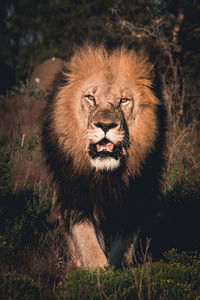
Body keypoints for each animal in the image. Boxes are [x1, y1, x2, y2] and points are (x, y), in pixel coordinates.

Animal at [42, 44, 166, 268]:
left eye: (124, 100)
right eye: (91, 98)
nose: (106, 125)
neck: (106, 176)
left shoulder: (134, 200)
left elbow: (122, 251)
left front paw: (118, 271)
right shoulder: (77, 199)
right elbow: (89, 248)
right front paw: (97, 273)